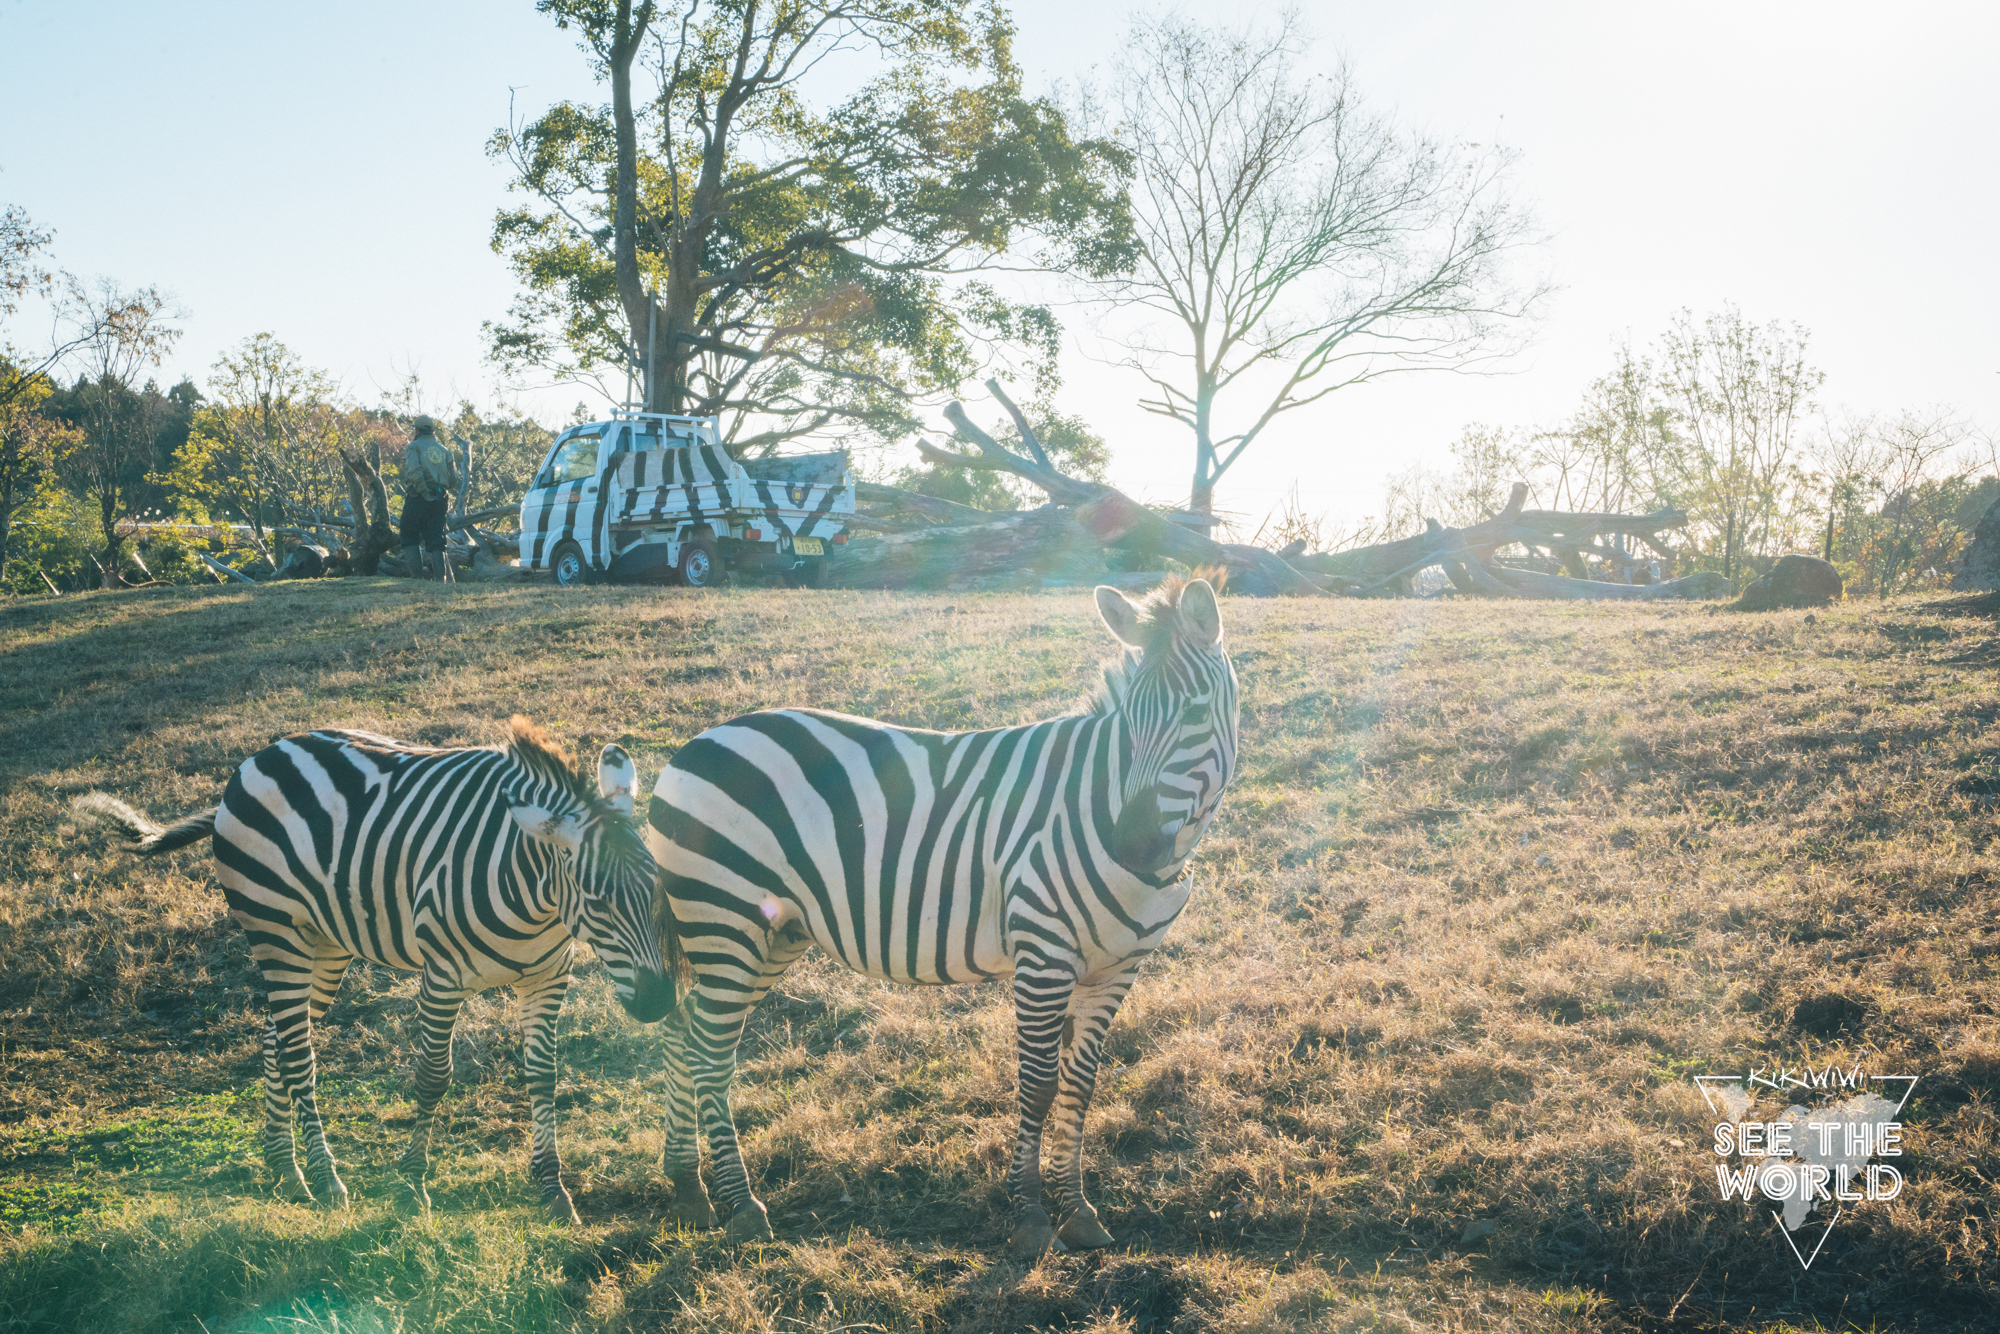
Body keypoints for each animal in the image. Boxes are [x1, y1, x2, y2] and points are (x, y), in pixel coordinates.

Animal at [78, 720, 676, 1224]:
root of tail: (258, 757)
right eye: (597, 902)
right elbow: (434, 1076)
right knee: (298, 1054)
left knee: (277, 1038)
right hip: (276, 933)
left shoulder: (547, 977)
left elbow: (544, 1076)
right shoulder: (442, 978)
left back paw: (284, 1169)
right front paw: (411, 1186)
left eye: (658, 889)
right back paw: (324, 1180)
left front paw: (552, 1189)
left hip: (325, 945)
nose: (658, 1004)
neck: (535, 897)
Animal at [648, 580, 1232, 1256]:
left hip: (771, 933)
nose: (1131, 845)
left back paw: (688, 1189)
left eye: (1196, 714)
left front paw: (1077, 1209)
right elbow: (1037, 1082)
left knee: (681, 1031)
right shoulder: (1043, 951)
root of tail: (696, 743)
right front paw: (1031, 1215)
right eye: (1127, 725)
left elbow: (1080, 1084)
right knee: (709, 1051)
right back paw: (741, 1207)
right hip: (726, 918)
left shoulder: (1116, 969)